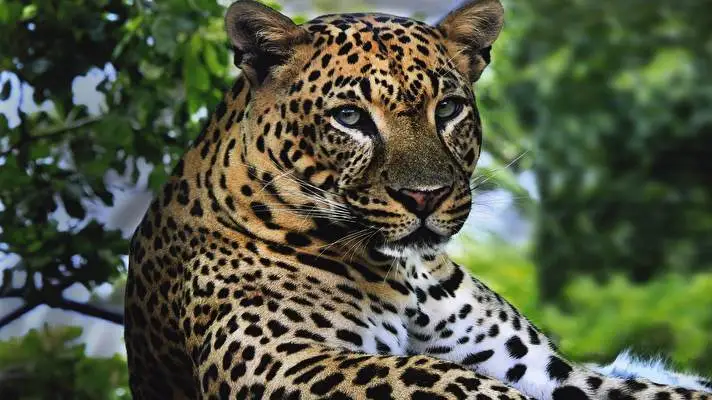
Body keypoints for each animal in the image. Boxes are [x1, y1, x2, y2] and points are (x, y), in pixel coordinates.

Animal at [123, 0, 712, 399]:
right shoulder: (283, 359)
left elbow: (642, 388)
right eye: (350, 117)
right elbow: (426, 370)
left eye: (447, 108)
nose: (424, 198)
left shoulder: (543, 369)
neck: (409, 279)